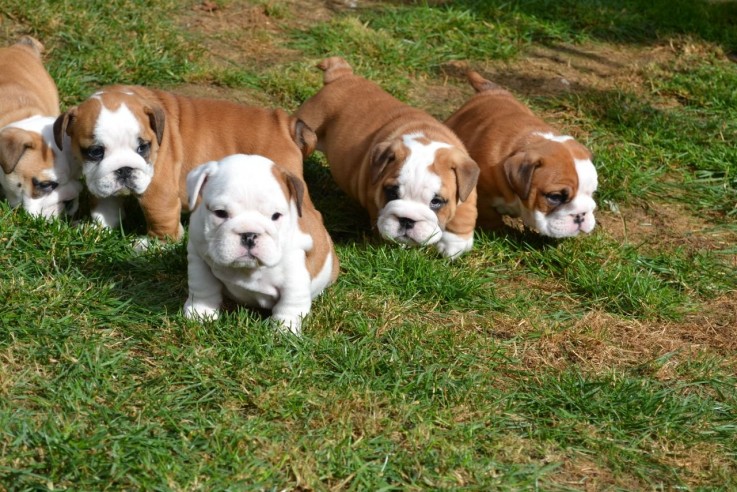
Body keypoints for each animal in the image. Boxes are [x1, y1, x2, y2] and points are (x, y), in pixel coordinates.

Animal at [53, 86, 314, 240]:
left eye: (143, 147)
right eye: (95, 152)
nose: (125, 169)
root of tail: (286, 124)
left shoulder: (158, 191)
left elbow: (160, 218)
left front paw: (153, 245)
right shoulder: (102, 185)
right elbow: (104, 208)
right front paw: (97, 229)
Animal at [183, 154, 338, 334]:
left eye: (276, 216)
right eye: (220, 213)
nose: (249, 235)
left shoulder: (294, 276)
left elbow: (290, 304)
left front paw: (284, 330)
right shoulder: (198, 254)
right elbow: (202, 285)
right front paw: (200, 312)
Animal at [296, 56, 480, 260]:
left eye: (436, 202)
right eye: (392, 192)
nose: (407, 220)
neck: (425, 136)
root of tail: (341, 75)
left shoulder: (466, 184)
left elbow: (465, 212)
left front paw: (455, 245)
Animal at [442, 70, 600, 237]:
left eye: (592, 193)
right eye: (555, 197)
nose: (581, 215)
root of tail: (490, 90)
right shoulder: (482, 197)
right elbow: (491, 218)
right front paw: (501, 233)